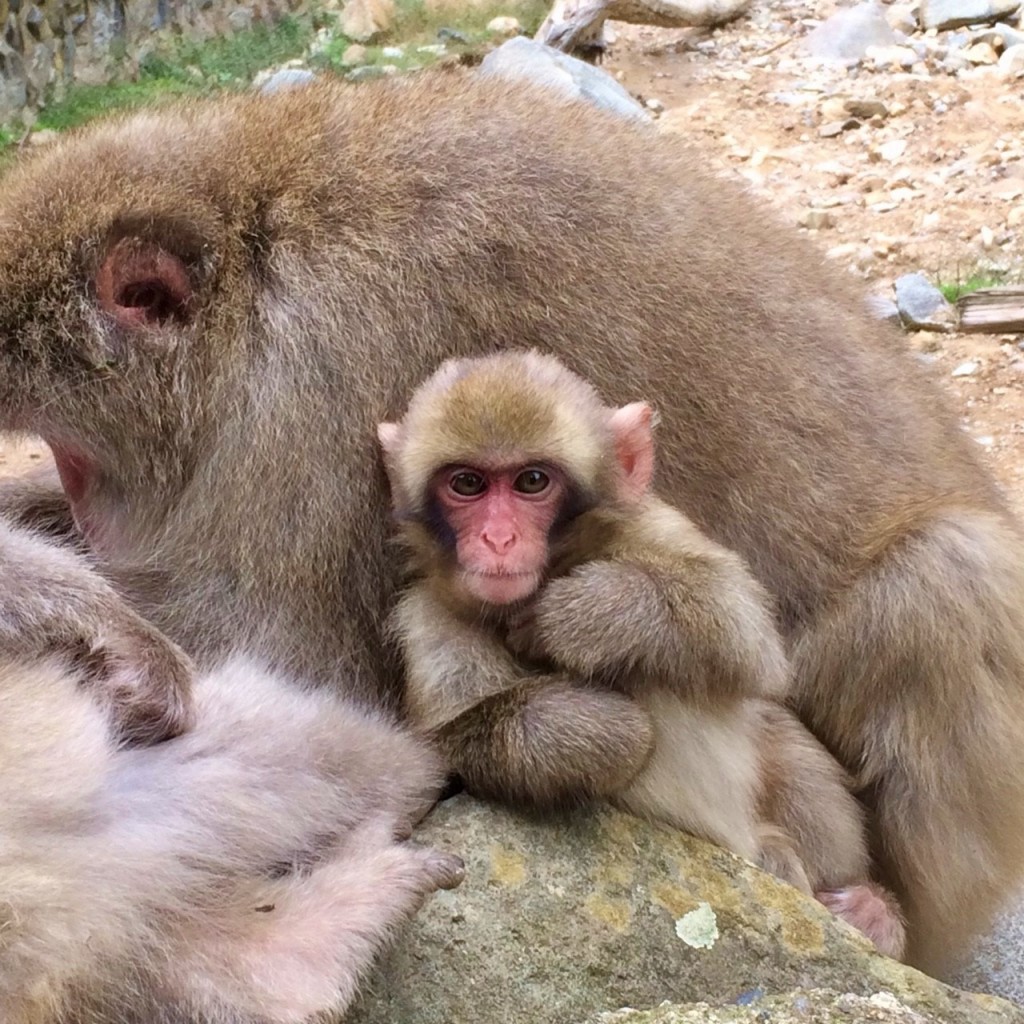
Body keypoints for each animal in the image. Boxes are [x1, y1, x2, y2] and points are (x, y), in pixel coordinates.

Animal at [378, 352, 905, 958]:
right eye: (467, 483)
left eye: (532, 481)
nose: (498, 540)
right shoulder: (426, 619)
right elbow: (437, 758)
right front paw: (610, 727)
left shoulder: (650, 523)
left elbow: (744, 630)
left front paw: (582, 614)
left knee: (773, 727)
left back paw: (864, 907)